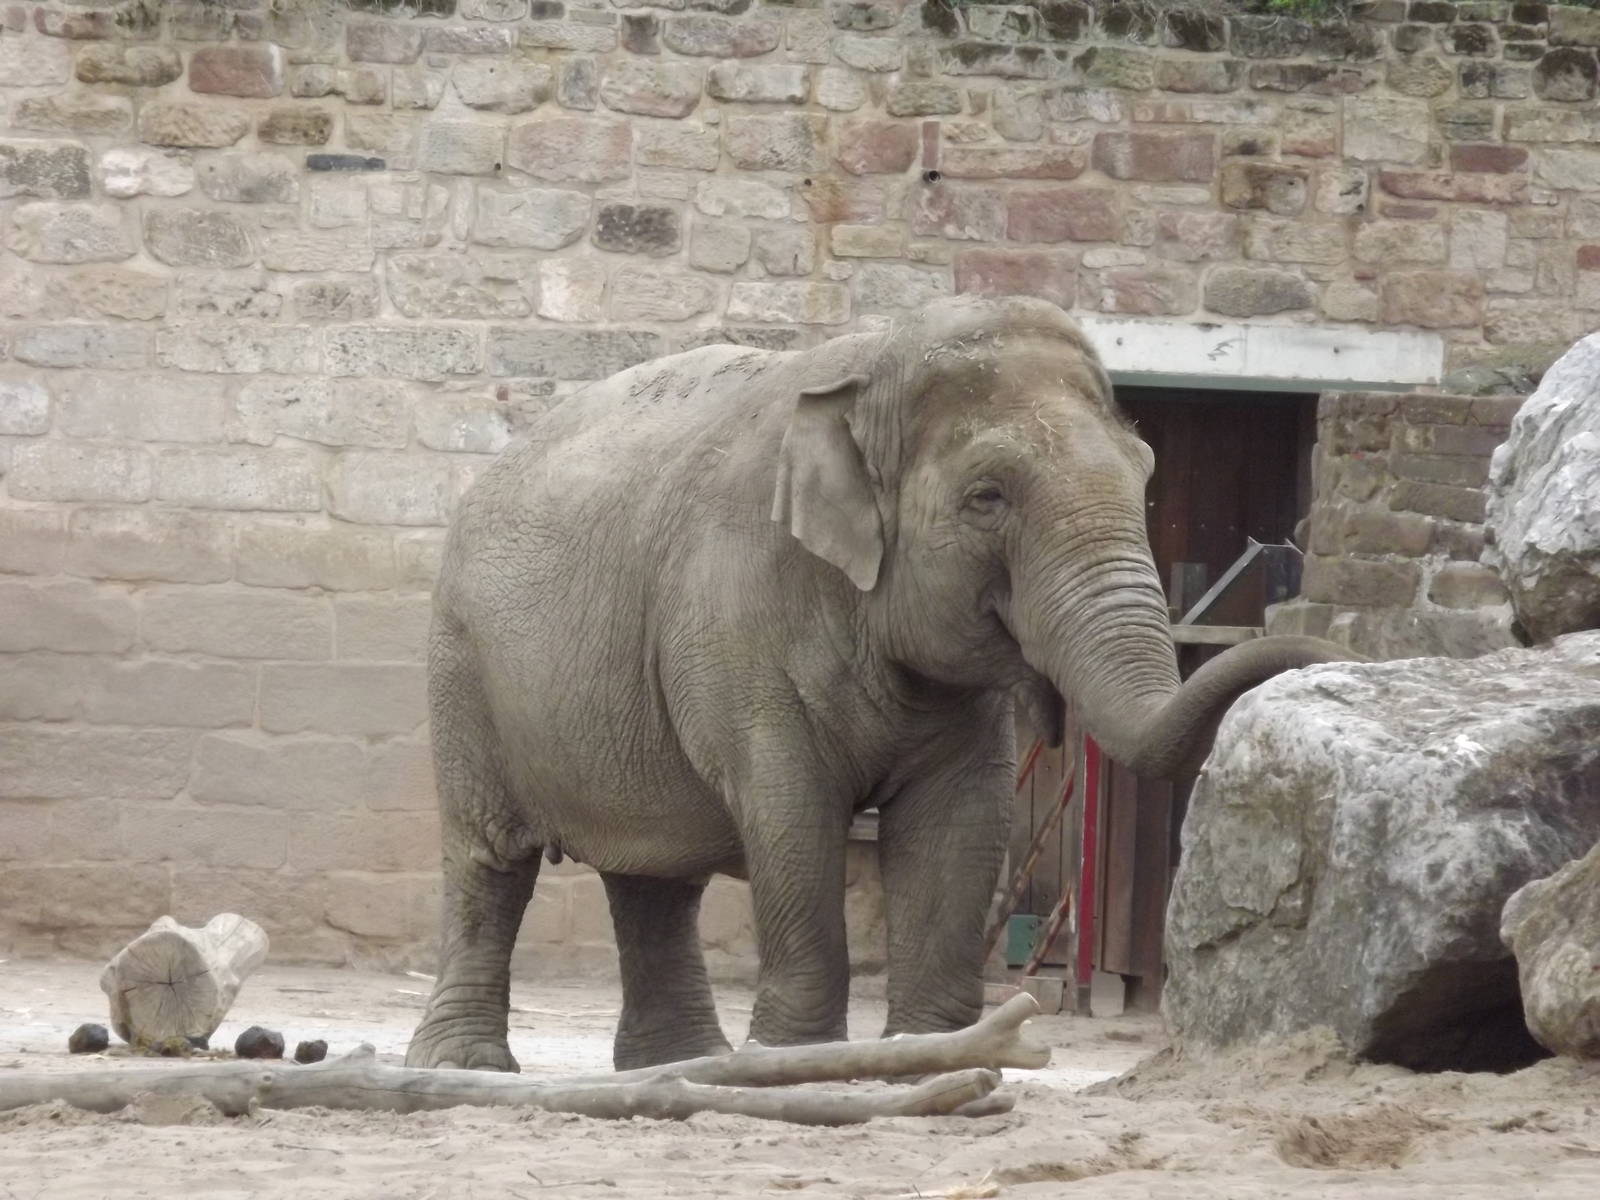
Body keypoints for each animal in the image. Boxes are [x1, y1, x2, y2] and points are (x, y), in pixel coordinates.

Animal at [404, 295, 1349, 1073]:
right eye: (987, 496)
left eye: (1146, 474)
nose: (1309, 643)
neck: (872, 367)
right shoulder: (736, 616)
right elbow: (791, 815)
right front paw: (801, 1062)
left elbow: (962, 821)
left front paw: (931, 1055)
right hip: (462, 664)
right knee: (492, 859)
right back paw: (467, 1065)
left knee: (654, 876)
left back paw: (679, 1066)